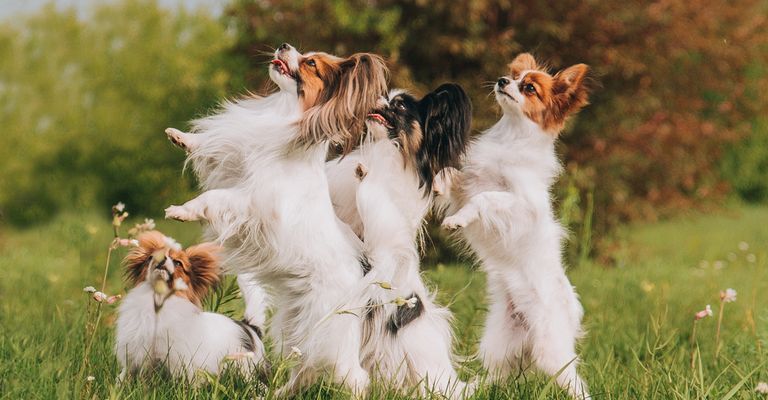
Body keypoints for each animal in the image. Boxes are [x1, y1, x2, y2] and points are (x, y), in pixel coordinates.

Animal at [115, 233, 268, 382]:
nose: (161, 258)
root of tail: (249, 327)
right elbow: (124, 376)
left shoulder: (177, 360)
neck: (157, 300)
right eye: (150, 258)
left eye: (178, 263)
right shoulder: (134, 356)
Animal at [164, 45, 388, 396]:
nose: (284, 46)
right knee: (303, 370)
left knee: (351, 375)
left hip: (327, 337)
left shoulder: (251, 200)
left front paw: (182, 210)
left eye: (311, 63)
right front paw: (182, 137)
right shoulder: (238, 166)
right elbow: (216, 150)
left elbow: (211, 199)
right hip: (297, 328)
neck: (285, 114)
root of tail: (364, 283)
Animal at [436, 53, 592, 396]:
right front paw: (437, 181)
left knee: (576, 382)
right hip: (498, 343)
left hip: (551, 352)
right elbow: (454, 176)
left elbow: (484, 200)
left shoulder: (519, 206)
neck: (510, 136)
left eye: (529, 87)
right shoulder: (469, 183)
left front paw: (457, 220)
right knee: (498, 375)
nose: (502, 81)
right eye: (513, 75)